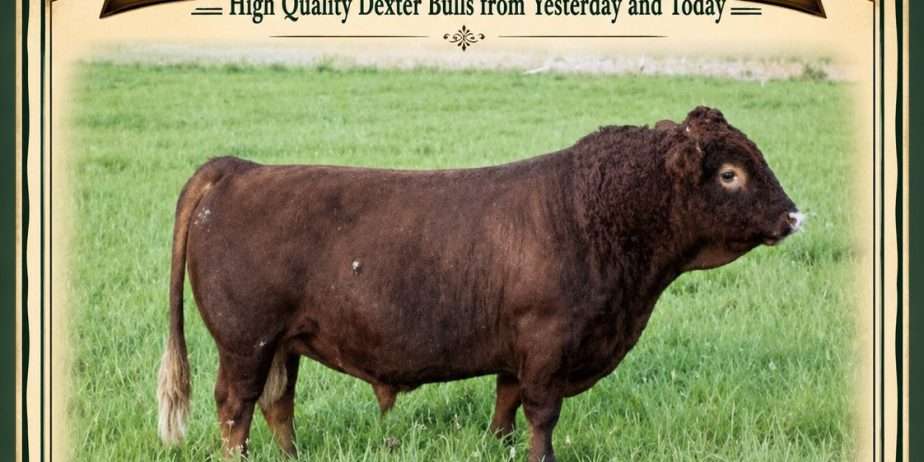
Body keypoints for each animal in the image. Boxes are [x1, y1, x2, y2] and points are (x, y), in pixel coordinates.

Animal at [157, 106, 801, 461]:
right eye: (730, 174)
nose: (793, 215)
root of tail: (241, 168)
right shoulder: (547, 348)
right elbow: (541, 416)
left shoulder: (517, 353)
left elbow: (505, 410)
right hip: (246, 343)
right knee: (235, 409)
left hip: (283, 344)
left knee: (277, 404)